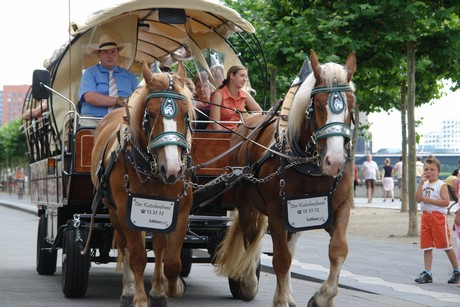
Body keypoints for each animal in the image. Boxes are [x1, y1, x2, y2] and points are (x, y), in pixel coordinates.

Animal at [90, 61, 193, 306]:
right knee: (125, 246)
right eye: (151, 114)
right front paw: (139, 298)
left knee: (158, 246)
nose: (172, 170)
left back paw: (157, 289)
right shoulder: (128, 210)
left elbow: (172, 260)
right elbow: (137, 257)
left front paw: (170, 289)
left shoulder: (178, 211)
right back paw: (128, 290)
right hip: (114, 212)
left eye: (186, 115)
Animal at [214, 51, 358, 307]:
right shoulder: (277, 211)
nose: (335, 161)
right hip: (247, 203)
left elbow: (338, 250)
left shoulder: (338, 206)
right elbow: (281, 258)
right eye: (318, 105)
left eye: (351, 104)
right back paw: (248, 280)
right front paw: (279, 298)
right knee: (251, 237)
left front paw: (323, 297)